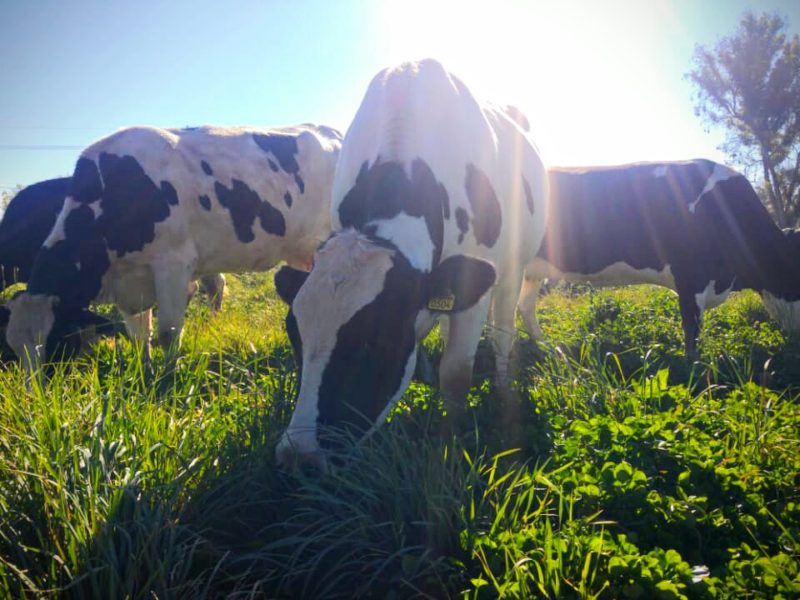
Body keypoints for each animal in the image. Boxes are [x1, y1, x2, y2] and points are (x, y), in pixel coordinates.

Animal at [6, 124, 341, 371]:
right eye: (12, 348)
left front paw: (167, 378)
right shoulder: (128, 283)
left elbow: (167, 333)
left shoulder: (174, 264)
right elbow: (139, 335)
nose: (36, 397)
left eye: (55, 341)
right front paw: (144, 371)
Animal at [273, 59, 548, 468]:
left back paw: (502, 384)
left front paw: (447, 443)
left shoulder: (474, 283)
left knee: (503, 331)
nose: (299, 457)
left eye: (373, 342)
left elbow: (457, 372)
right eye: (294, 333)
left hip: (514, 268)